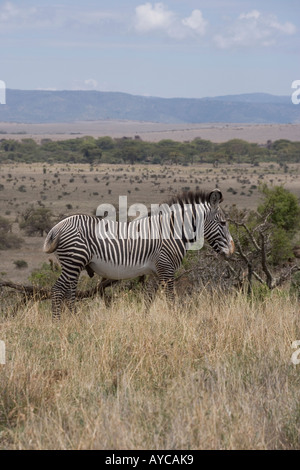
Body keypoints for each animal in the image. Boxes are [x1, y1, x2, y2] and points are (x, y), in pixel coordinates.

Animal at [42, 189, 234, 322]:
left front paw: (144, 321)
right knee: (58, 289)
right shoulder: (167, 270)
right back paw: (57, 324)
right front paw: (176, 322)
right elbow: (171, 299)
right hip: (74, 261)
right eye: (223, 223)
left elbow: (149, 299)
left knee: (69, 292)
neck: (172, 232)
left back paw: (76, 320)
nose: (232, 251)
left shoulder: (156, 272)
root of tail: (57, 227)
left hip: (74, 264)